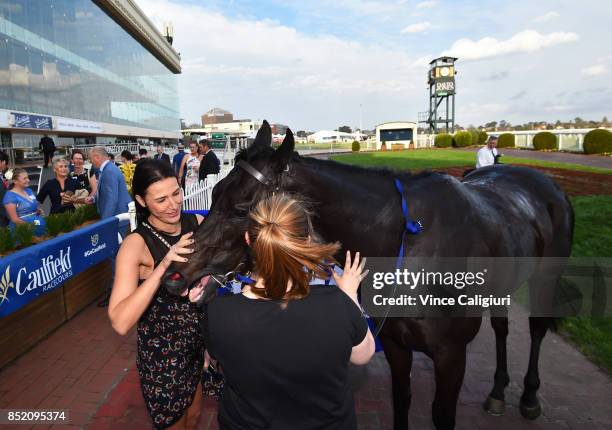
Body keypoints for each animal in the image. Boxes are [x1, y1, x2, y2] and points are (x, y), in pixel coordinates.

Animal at [163, 121, 572, 430]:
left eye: (241, 209)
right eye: (215, 190)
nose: (175, 276)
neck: (410, 243)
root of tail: (547, 184)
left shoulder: (451, 355)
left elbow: (442, 415)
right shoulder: (394, 344)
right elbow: (402, 399)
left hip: (545, 277)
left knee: (536, 328)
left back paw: (529, 396)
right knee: (502, 327)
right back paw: (498, 392)